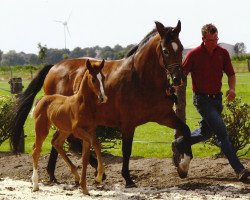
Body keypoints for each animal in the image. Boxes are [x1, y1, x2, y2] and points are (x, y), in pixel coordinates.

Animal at [31, 59, 107, 194]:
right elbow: (93, 145)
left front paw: (87, 186)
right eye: (93, 79)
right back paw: (35, 185)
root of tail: (42, 99)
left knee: (56, 143)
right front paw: (96, 178)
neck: (83, 104)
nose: (103, 98)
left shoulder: (90, 131)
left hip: (64, 130)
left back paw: (76, 177)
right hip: (42, 129)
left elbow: (89, 153)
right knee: (36, 150)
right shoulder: (77, 131)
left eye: (102, 78)